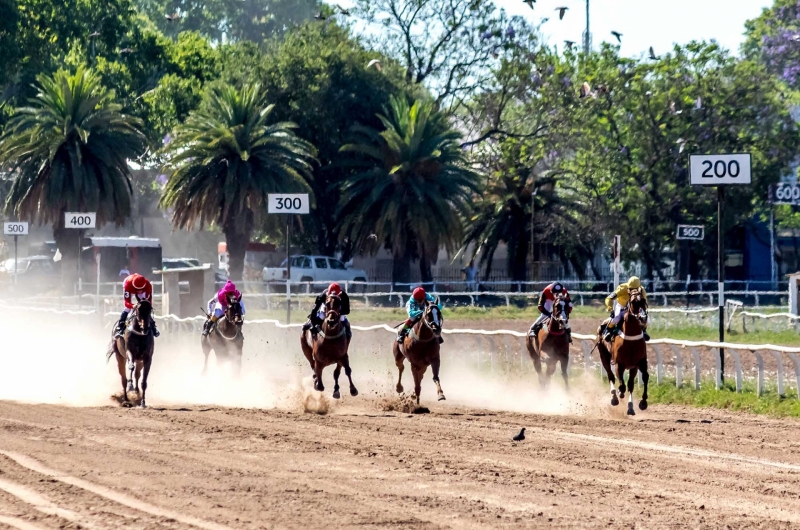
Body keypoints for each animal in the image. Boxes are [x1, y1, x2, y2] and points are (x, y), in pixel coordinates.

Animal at [592, 286, 648, 414]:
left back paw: (630, 406)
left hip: (632, 367)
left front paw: (642, 403)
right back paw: (614, 397)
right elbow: (622, 385)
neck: (631, 339)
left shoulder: (639, 363)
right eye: (633, 302)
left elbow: (643, 378)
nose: (643, 318)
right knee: (611, 376)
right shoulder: (619, 364)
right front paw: (619, 393)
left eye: (643, 300)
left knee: (630, 384)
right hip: (604, 356)